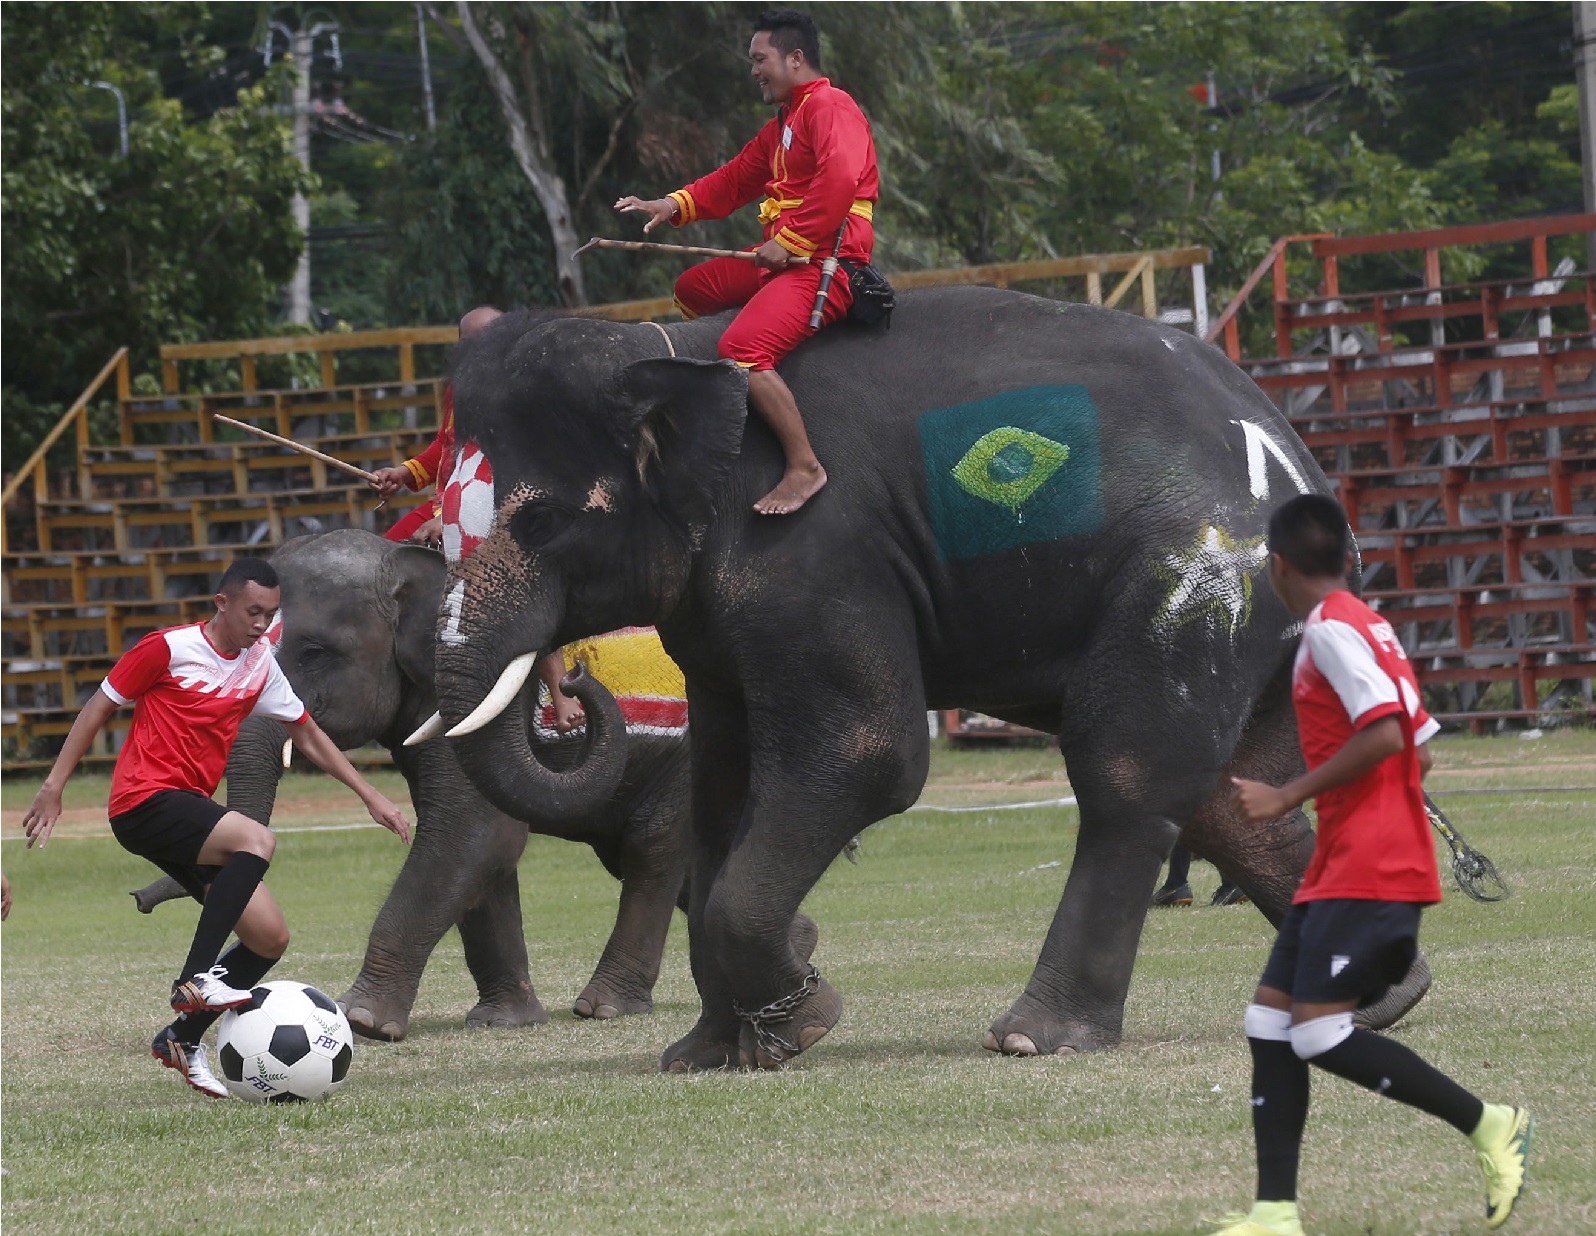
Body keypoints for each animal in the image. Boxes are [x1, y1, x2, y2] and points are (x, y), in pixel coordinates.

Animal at [427, 292, 1436, 1073]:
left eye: (544, 523)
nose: (569, 689)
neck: (671, 342)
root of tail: (1302, 458)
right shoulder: (719, 620)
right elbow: (722, 792)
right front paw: (710, 1054)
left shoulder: (811, 555)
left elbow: (868, 755)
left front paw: (806, 1020)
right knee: (1233, 794)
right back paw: (1381, 1000)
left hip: (1194, 575)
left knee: (1129, 770)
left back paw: (1036, 1037)